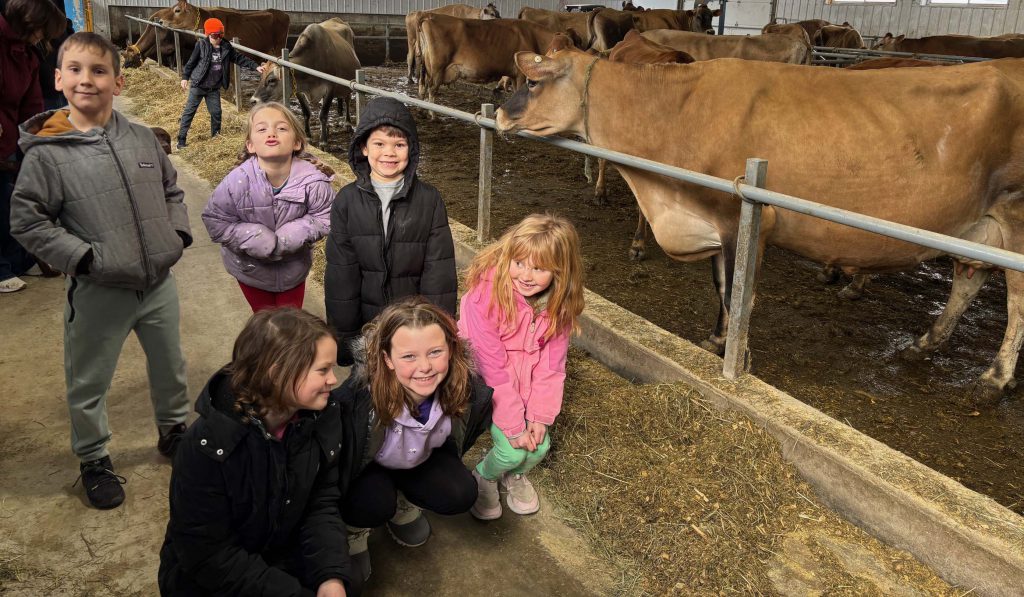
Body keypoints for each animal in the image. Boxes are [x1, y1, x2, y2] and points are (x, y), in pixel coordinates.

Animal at [250, 19, 360, 149]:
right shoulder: (298, 89)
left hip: (348, 84)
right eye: (261, 77)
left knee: (347, 100)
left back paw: (347, 123)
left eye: (271, 80)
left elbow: (323, 114)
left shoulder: (330, 88)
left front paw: (323, 142)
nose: (253, 101)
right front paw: (308, 136)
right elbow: (306, 112)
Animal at [497, 47, 1024, 401]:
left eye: (534, 83)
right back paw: (926, 342)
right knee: (968, 280)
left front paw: (739, 358)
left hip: (1015, 219)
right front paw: (715, 338)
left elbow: (739, 294)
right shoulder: (712, 224)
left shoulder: (746, 217)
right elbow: (719, 284)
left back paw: (994, 378)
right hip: (978, 227)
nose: (500, 112)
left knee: (1015, 297)